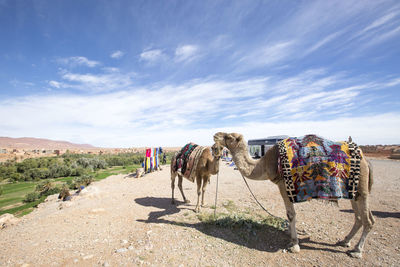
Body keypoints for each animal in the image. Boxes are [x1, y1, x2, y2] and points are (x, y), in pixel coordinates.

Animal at [214, 133, 374, 258]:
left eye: (229, 137)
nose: (216, 135)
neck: (266, 164)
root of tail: (366, 160)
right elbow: (289, 215)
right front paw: (290, 236)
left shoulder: (284, 187)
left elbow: (291, 215)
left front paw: (294, 245)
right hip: (354, 192)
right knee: (359, 217)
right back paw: (345, 241)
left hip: (362, 189)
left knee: (368, 220)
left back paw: (357, 251)